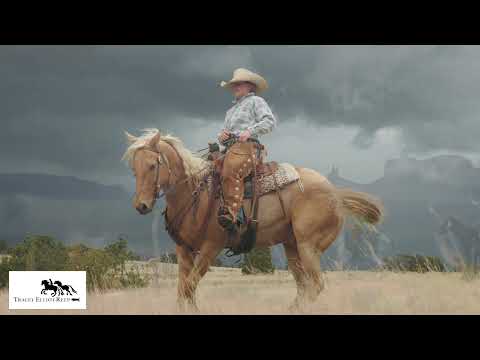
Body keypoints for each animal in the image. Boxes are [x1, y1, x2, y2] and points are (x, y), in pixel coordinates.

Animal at [122, 128, 384, 310]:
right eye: (133, 169)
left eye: (153, 165)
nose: (141, 206)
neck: (196, 194)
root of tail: (335, 194)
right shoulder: (184, 250)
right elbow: (184, 292)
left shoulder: (210, 249)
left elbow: (188, 287)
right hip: (292, 247)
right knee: (303, 287)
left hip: (309, 246)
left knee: (315, 285)